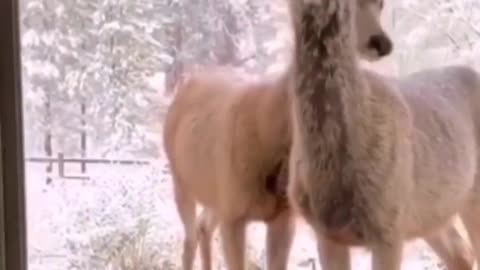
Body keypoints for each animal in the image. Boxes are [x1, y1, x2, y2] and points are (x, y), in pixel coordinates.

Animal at [288, 0, 480, 270]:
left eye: (380, 3)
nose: (381, 42)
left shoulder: (389, 226)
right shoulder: (325, 233)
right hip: (430, 213)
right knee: (461, 253)